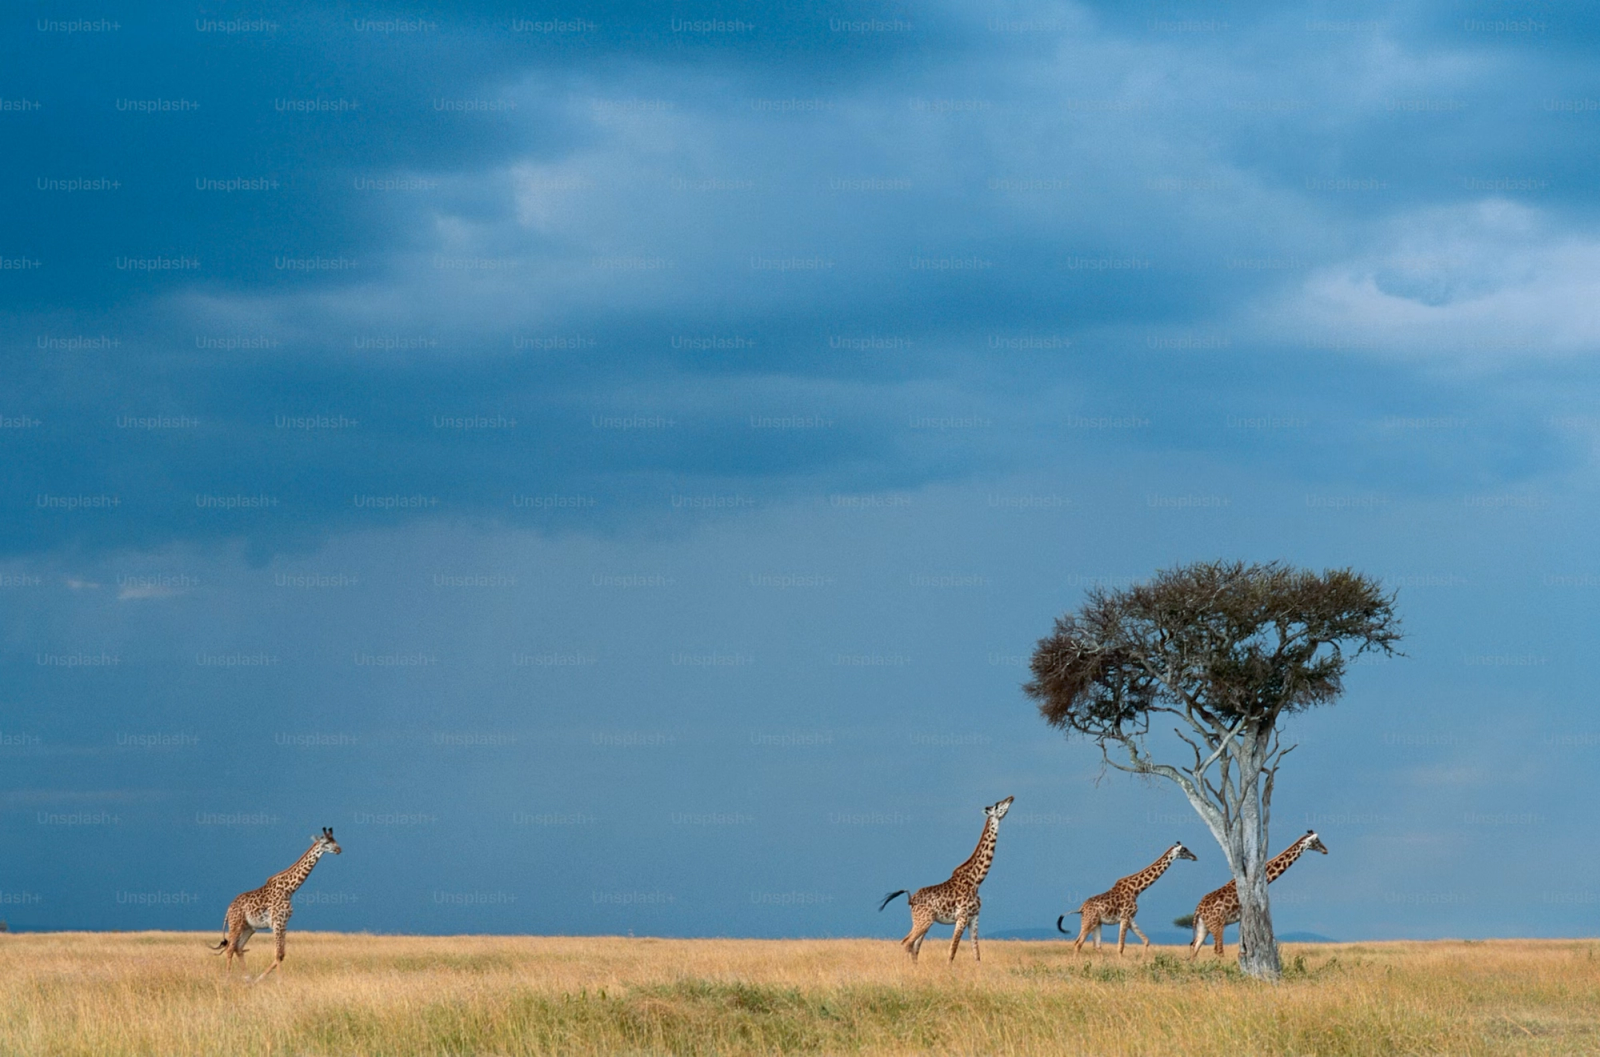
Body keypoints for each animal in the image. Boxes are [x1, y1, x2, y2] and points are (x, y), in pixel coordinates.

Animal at [210, 828, 341, 979]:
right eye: (326, 842)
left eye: (335, 840)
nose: (339, 849)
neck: (289, 890)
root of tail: (229, 909)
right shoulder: (277, 922)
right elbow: (278, 954)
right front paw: (280, 980)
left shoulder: (284, 922)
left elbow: (282, 954)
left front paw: (260, 978)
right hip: (235, 924)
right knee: (230, 948)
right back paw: (228, 978)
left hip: (249, 927)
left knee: (238, 947)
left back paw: (248, 978)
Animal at [878, 796, 1012, 962]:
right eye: (997, 804)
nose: (1011, 797)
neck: (976, 880)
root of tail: (910, 899)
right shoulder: (962, 917)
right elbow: (952, 951)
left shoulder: (974, 917)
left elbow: (976, 953)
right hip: (923, 920)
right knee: (906, 943)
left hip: (924, 921)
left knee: (914, 947)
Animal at [1056, 841, 1197, 954]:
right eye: (1184, 850)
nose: (1195, 857)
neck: (1136, 890)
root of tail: (1081, 908)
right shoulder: (1125, 917)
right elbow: (1120, 947)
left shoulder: (1131, 918)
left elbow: (1146, 940)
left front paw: (1143, 962)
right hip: (1089, 922)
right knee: (1078, 943)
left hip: (1096, 923)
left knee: (1096, 946)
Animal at [1189, 829, 1328, 959]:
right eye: (1317, 841)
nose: (1325, 850)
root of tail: (1198, 910)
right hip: (1217, 925)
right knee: (1217, 950)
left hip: (1204, 926)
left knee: (1194, 947)